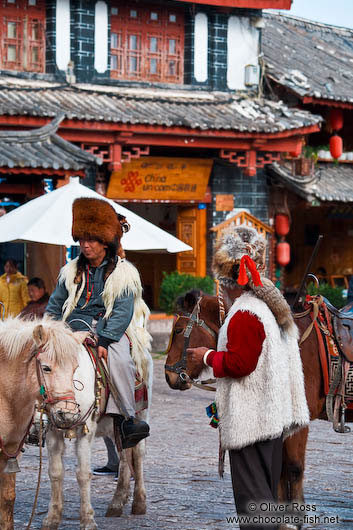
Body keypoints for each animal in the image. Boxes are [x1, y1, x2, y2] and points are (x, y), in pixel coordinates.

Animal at [42, 330, 152, 524]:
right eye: (45, 367)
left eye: (74, 367)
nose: (65, 412)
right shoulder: (53, 431)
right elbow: (55, 471)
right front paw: (52, 517)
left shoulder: (85, 430)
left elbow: (83, 473)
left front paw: (87, 519)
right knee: (124, 457)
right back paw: (117, 502)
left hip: (140, 415)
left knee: (137, 455)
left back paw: (138, 502)